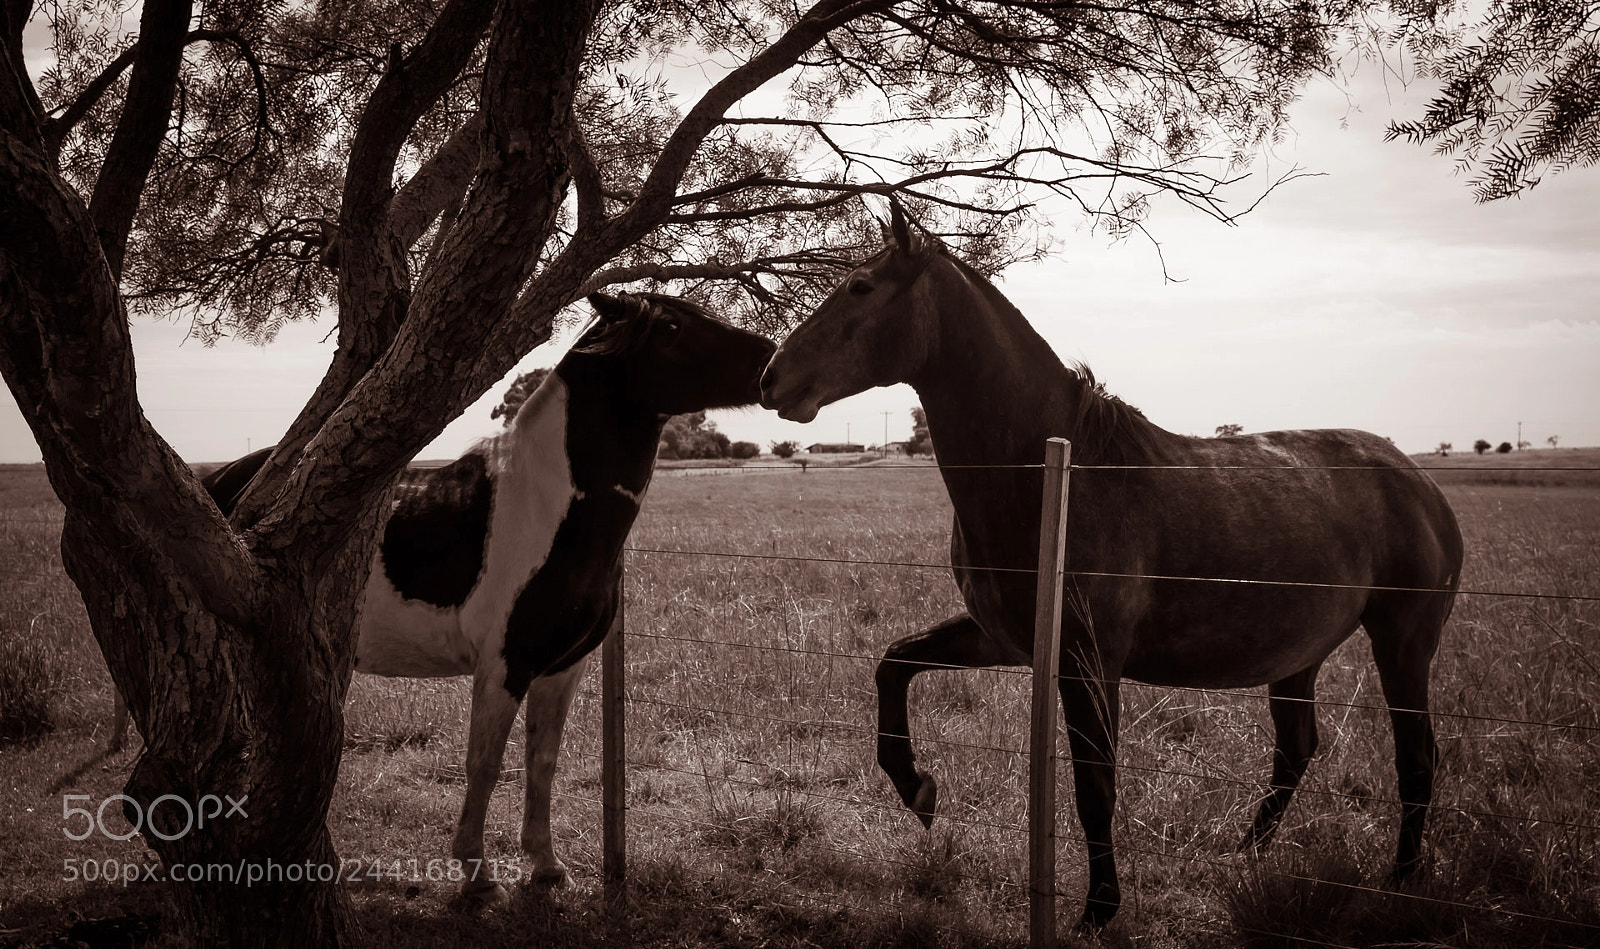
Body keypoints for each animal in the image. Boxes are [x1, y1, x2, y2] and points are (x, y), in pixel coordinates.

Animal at [202, 291, 775, 901]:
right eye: (670, 327)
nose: (770, 359)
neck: (546, 505)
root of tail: (223, 482)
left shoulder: (562, 667)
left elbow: (541, 762)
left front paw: (547, 866)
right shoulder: (503, 664)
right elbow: (485, 762)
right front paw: (476, 875)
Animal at [759, 205, 1463, 930]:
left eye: (861, 287)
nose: (770, 379)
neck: (1055, 475)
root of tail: (1415, 478)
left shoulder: (1088, 658)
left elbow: (1095, 784)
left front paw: (1098, 910)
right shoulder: (1005, 639)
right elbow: (894, 661)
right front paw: (915, 786)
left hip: (1403, 642)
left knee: (1417, 757)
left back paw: (1403, 879)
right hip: (1300, 653)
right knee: (1297, 747)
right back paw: (1242, 857)